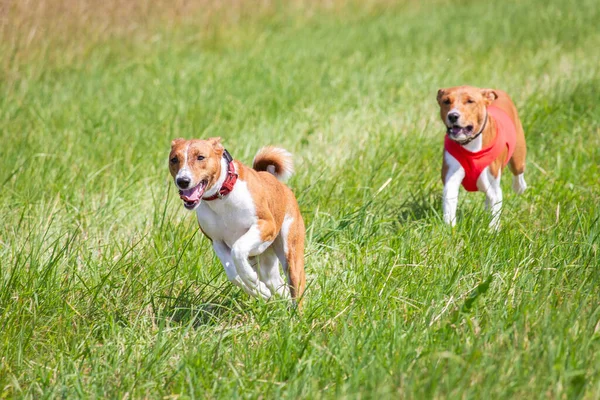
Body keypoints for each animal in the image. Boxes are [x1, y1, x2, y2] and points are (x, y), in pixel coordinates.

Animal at [169, 139, 310, 308]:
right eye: (174, 159)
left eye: (200, 157)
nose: (183, 181)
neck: (222, 198)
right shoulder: (217, 241)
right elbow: (232, 273)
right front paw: (257, 289)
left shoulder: (266, 225)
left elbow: (238, 249)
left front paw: (251, 279)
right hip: (265, 263)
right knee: (278, 286)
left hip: (290, 252)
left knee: (296, 288)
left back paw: (295, 313)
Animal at [436, 86, 528, 230]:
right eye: (446, 101)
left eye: (470, 101)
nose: (453, 115)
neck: (470, 144)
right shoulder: (451, 178)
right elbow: (449, 204)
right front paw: (450, 229)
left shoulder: (494, 185)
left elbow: (495, 210)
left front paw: (491, 231)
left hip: (517, 158)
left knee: (518, 174)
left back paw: (519, 188)